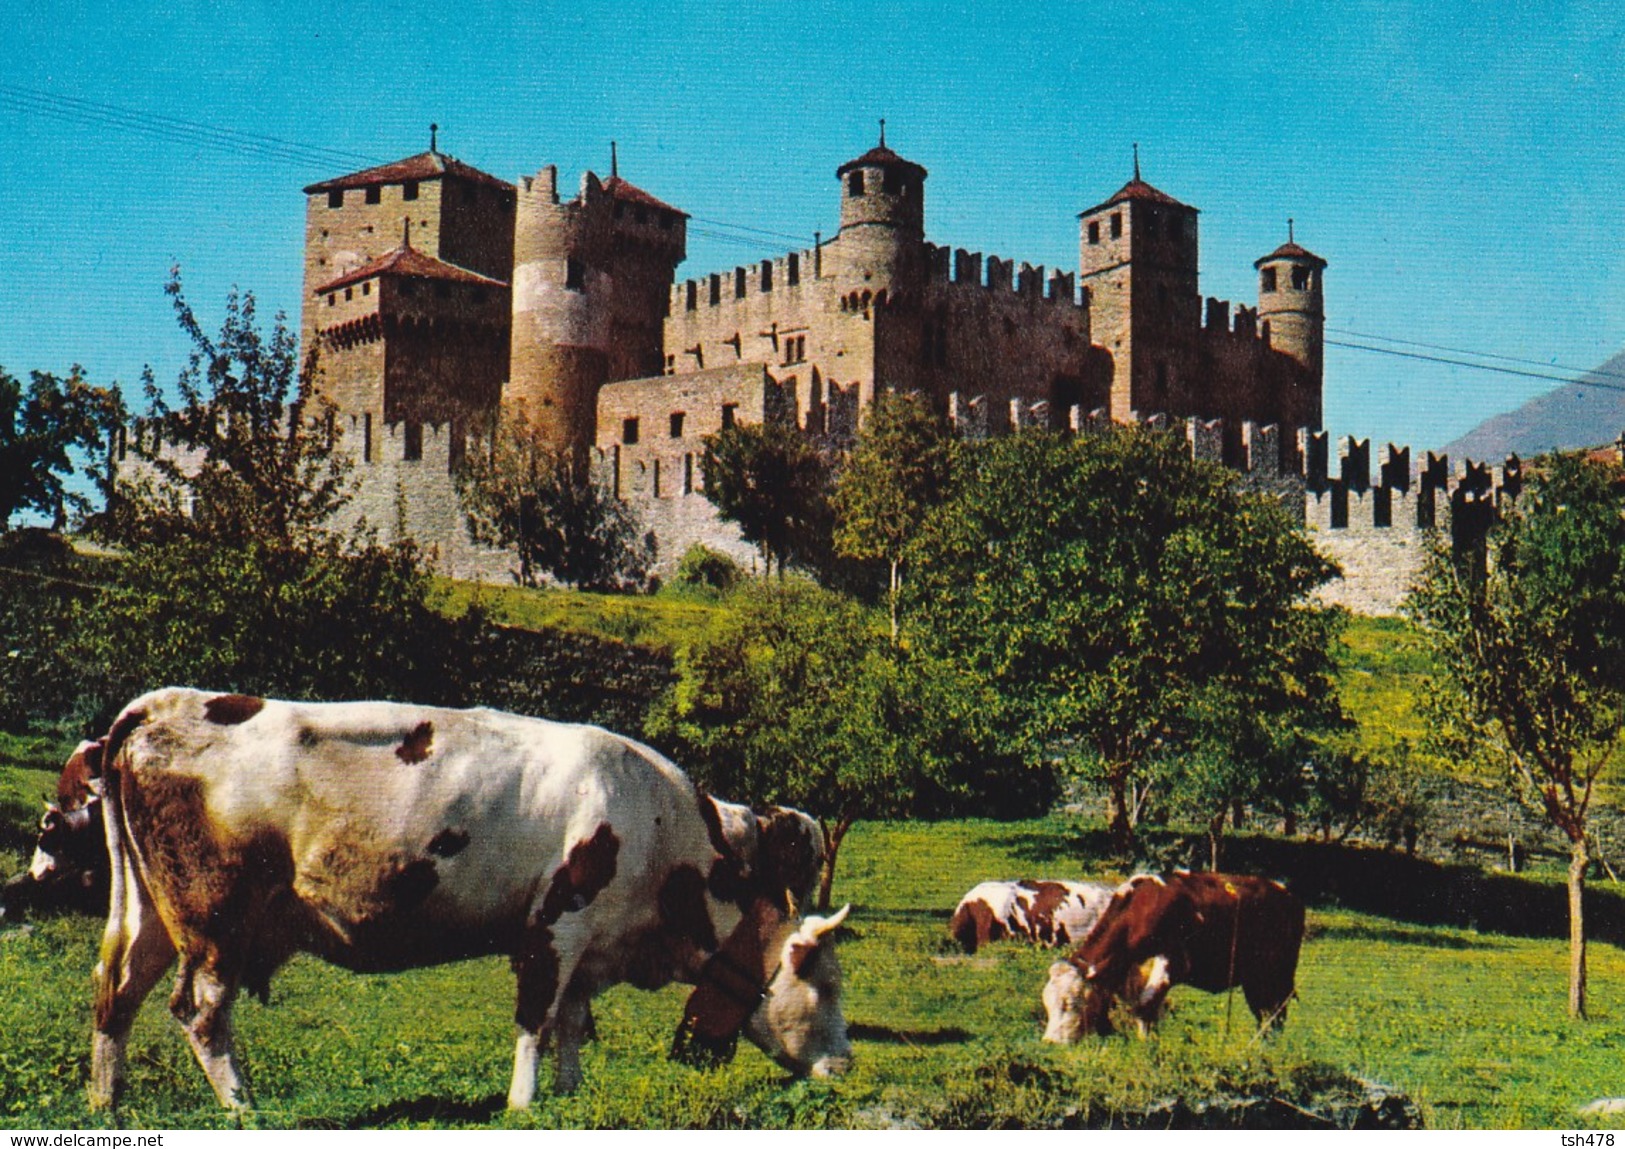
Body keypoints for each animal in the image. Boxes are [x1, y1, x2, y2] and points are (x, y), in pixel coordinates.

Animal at [82, 689, 858, 1111]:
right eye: (824, 982)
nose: (848, 1065)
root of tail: (161, 703)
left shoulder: (591, 942)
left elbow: (572, 1018)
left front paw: (570, 1093)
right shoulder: (556, 922)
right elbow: (537, 1016)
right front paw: (524, 1101)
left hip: (152, 913)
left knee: (117, 991)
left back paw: (107, 1102)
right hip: (215, 916)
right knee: (200, 1011)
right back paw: (244, 1106)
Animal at [1040, 871, 1306, 1040]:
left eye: (1070, 1003)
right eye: (1047, 1003)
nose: (1050, 1043)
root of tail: (1288, 894)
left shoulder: (1172, 961)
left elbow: (1144, 1008)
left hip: (1278, 973)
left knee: (1277, 1013)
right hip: (1254, 977)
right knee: (1264, 1014)